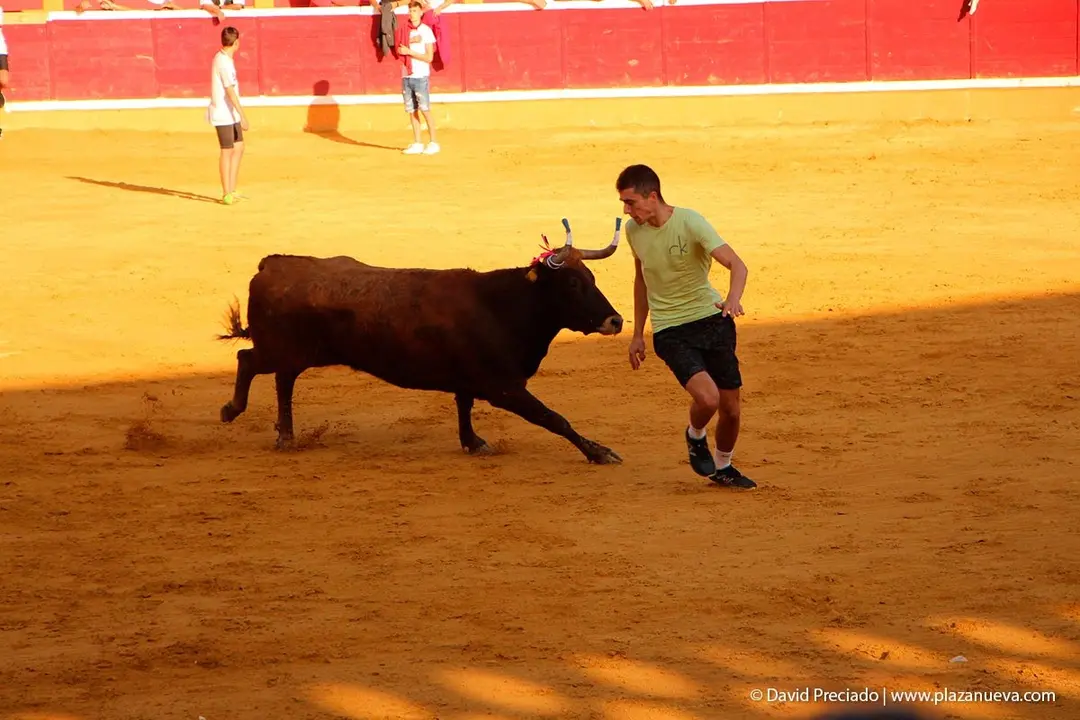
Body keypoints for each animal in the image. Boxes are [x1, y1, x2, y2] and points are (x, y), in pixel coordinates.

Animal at [216, 218, 626, 464]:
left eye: (591, 277)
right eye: (572, 283)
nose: (617, 320)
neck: (502, 304)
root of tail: (271, 263)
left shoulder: (470, 380)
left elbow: (464, 406)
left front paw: (473, 442)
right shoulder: (504, 387)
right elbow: (554, 418)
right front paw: (600, 451)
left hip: (295, 354)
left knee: (281, 380)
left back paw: (286, 435)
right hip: (280, 349)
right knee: (248, 360)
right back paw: (233, 411)